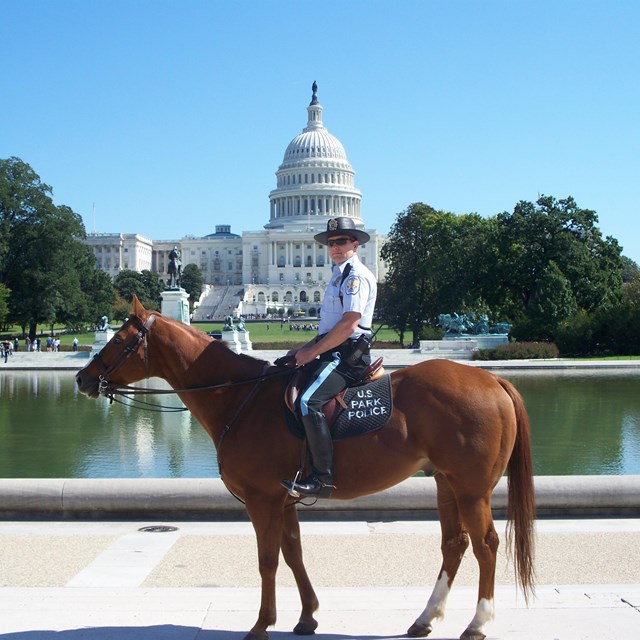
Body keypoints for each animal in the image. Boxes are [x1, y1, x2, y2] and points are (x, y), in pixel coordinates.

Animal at [75, 298, 536, 640]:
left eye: (118, 339)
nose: (82, 379)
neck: (239, 397)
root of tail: (493, 379)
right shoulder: (285, 497)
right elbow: (293, 552)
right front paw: (307, 616)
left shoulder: (261, 498)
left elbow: (267, 559)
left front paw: (262, 624)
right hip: (445, 482)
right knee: (454, 544)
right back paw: (425, 619)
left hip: (472, 488)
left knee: (486, 544)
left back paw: (477, 623)